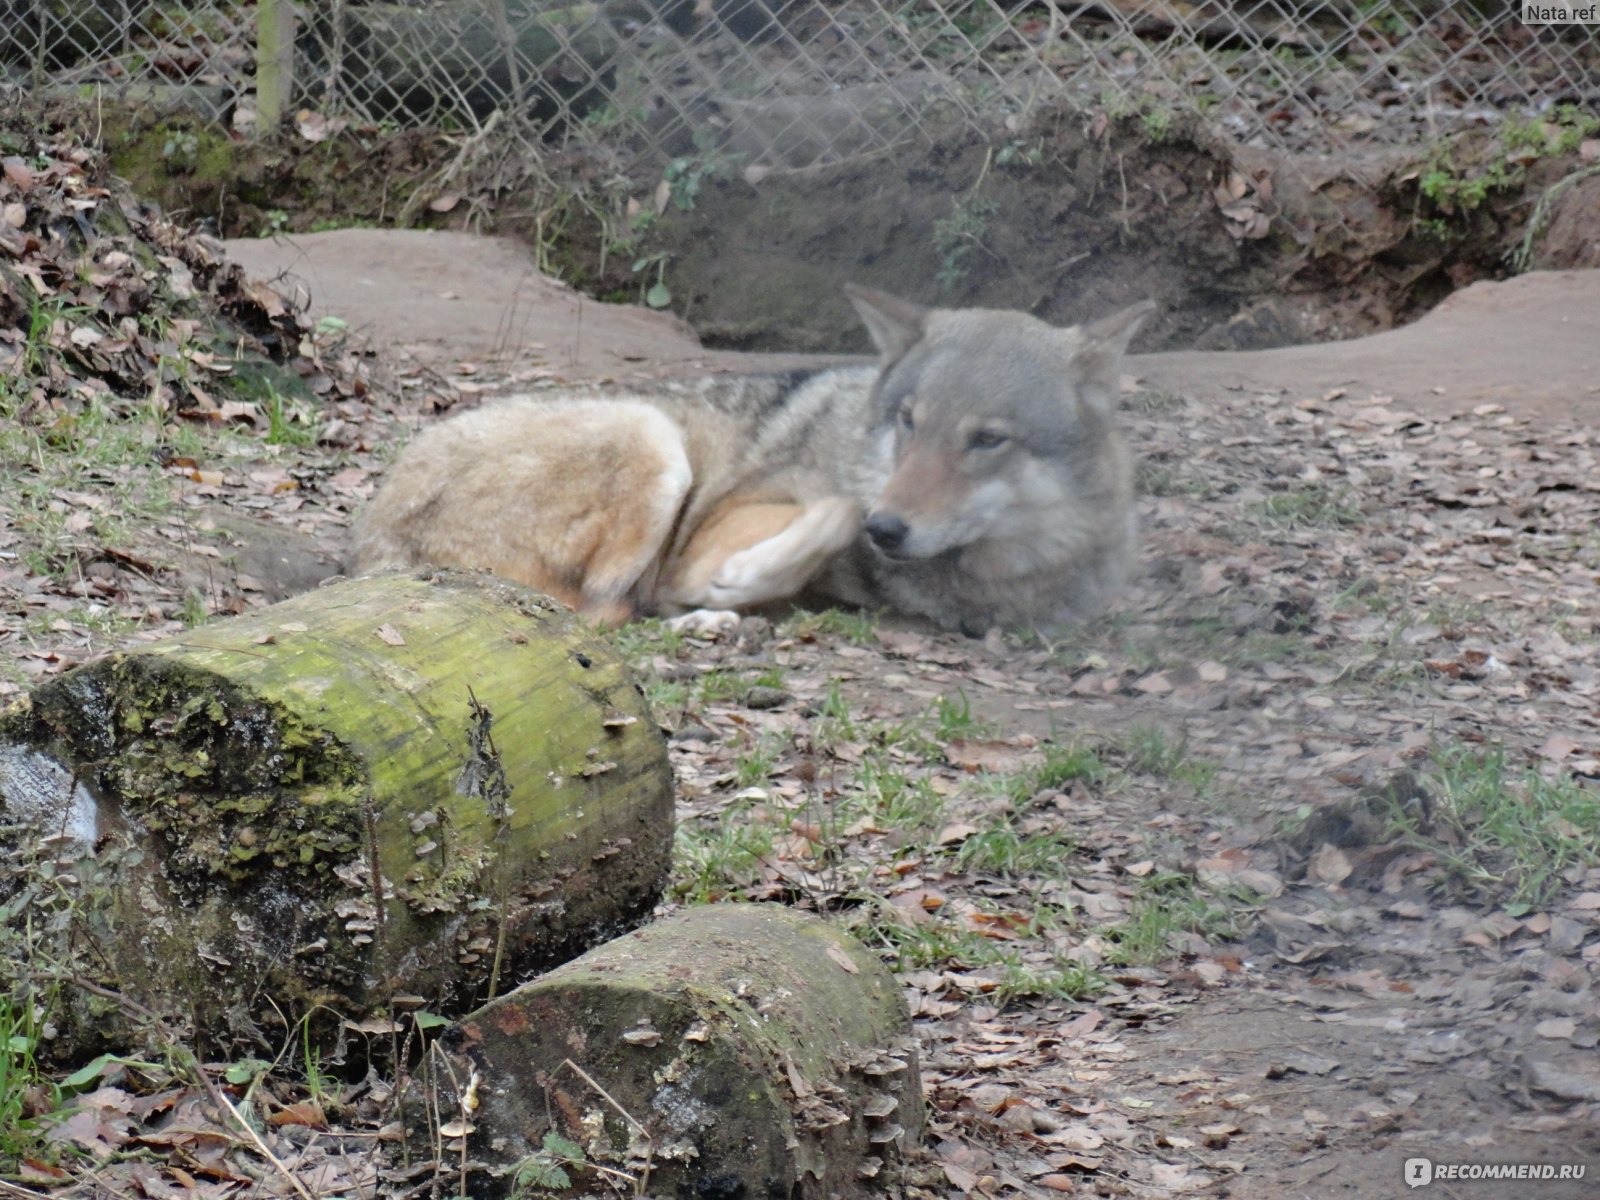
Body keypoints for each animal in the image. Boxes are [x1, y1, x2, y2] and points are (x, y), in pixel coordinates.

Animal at [350, 286, 1152, 640]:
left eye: (988, 440)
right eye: (909, 421)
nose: (892, 528)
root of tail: (375, 540)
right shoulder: (713, 536)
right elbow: (837, 511)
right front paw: (739, 580)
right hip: (654, 439)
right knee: (597, 617)